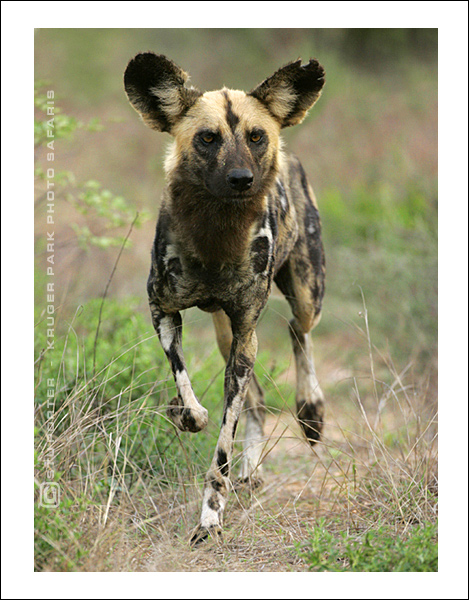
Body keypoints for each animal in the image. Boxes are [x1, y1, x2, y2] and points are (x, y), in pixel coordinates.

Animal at [124, 54, 326, 548]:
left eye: (256, 137)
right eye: (207, 138)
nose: (241, 180)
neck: (216, 234)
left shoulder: (245, 332)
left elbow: (219, 452)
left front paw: (210, 518)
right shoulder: (164, 312)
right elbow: (189, 396)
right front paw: (182, 413)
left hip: (303, 296)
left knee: (298, 330)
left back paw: (311, 411)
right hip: (226, 336)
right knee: (257, 401)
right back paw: (251, 467)